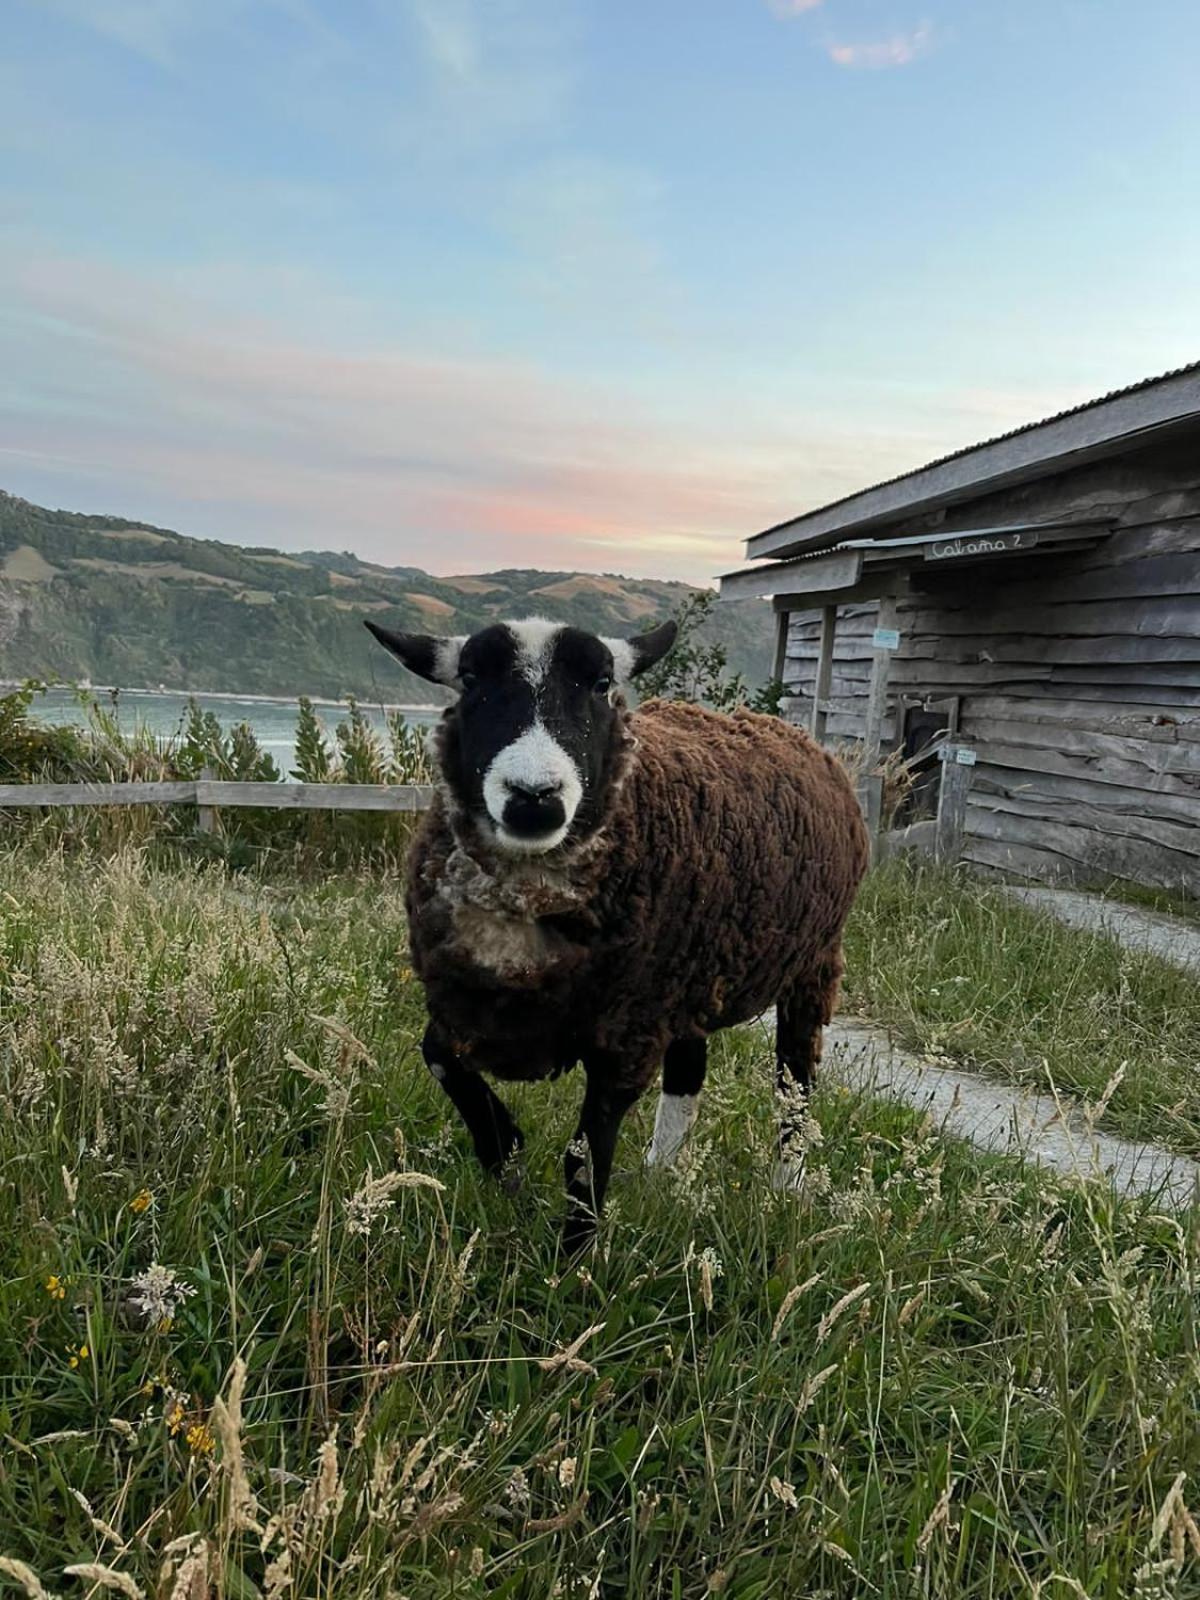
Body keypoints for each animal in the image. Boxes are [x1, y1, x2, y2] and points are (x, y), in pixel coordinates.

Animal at [366, 614, 876, 1248]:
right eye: (470, 680)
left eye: (601, 682)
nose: (534, 799)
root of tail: (788, 731)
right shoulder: (467, 1008)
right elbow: (437, 1056)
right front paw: (506, 1158)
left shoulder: (624, 1036)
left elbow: (584, 1157)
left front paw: (572, 1258)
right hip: (690, 977)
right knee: (689, 1068)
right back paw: (660, 1173)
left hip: (811, 965)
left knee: (795, 1081)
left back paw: (786, 1185)